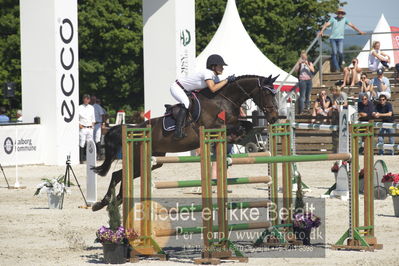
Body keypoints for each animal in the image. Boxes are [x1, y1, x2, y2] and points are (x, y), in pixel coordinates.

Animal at [92, 74, 280, 211]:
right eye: (267, 93)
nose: (274, 118)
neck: (223, 99)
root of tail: (135, 129)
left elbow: (247, 125)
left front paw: (237, 138)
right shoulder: (214, 126)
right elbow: (236, 127)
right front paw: (233, 137)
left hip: (153, 161)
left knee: (120, 175)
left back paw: (110, 202)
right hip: (140, 158)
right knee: (118, 175)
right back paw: (103, 203)